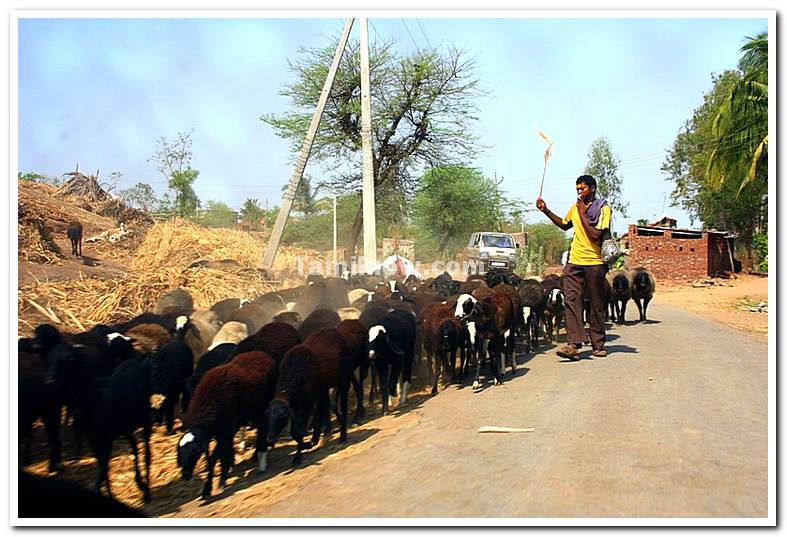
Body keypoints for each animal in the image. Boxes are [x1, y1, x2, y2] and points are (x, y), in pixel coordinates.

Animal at [178, 348, 278, 498]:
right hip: (252, 409)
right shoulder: (222, 431)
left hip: (263, 403)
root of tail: (261, 354)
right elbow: (221, 454)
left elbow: (214, 458)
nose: (185, 476)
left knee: (263, 427)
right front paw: (223, 474)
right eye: (179, 452)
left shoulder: (226, 429)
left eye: (195, 452)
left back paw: (261, 461)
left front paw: (211, 486)